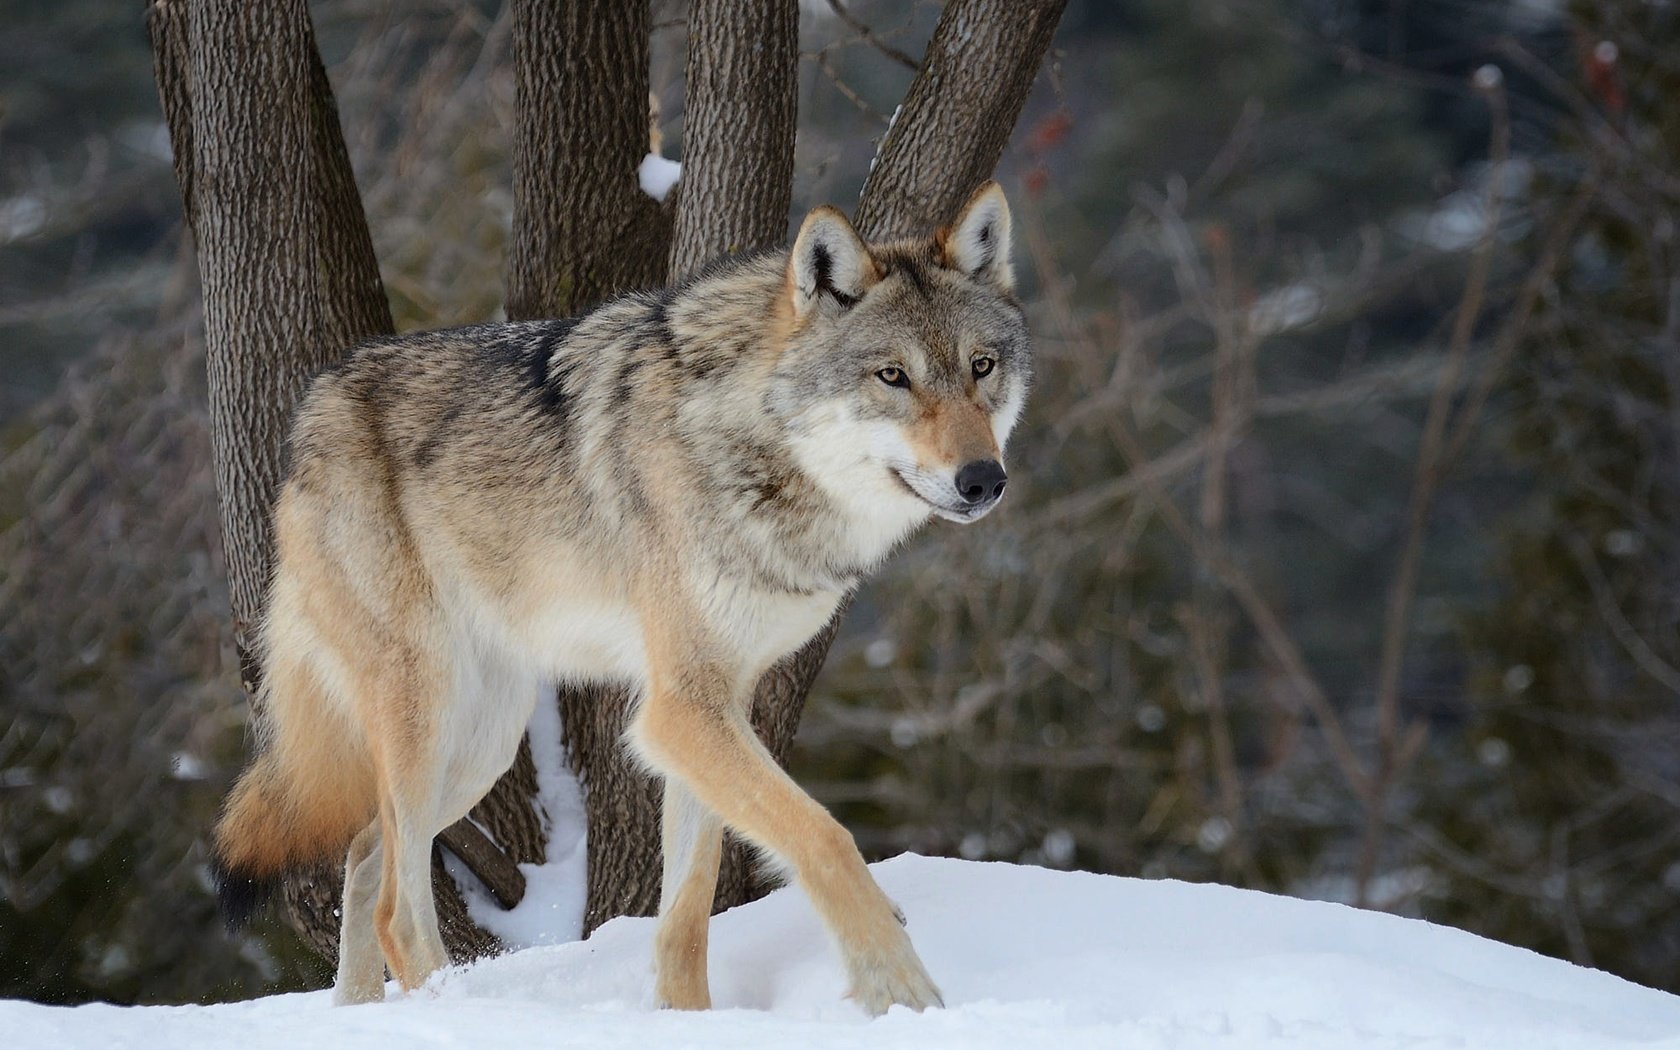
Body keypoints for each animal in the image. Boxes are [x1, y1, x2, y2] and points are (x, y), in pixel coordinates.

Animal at [206, 182, 1021, 1014]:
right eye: (893, 376)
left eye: (981, 367)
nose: (984, 479)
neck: (750, 443)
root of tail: (308, 420)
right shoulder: (680, 709)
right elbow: (824, 836)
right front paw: (903, 994)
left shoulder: (713, 706)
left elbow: (687, 907)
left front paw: (686, 1018)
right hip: (430, 716)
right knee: (396, 908)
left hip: (480, 742)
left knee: (367, 848)